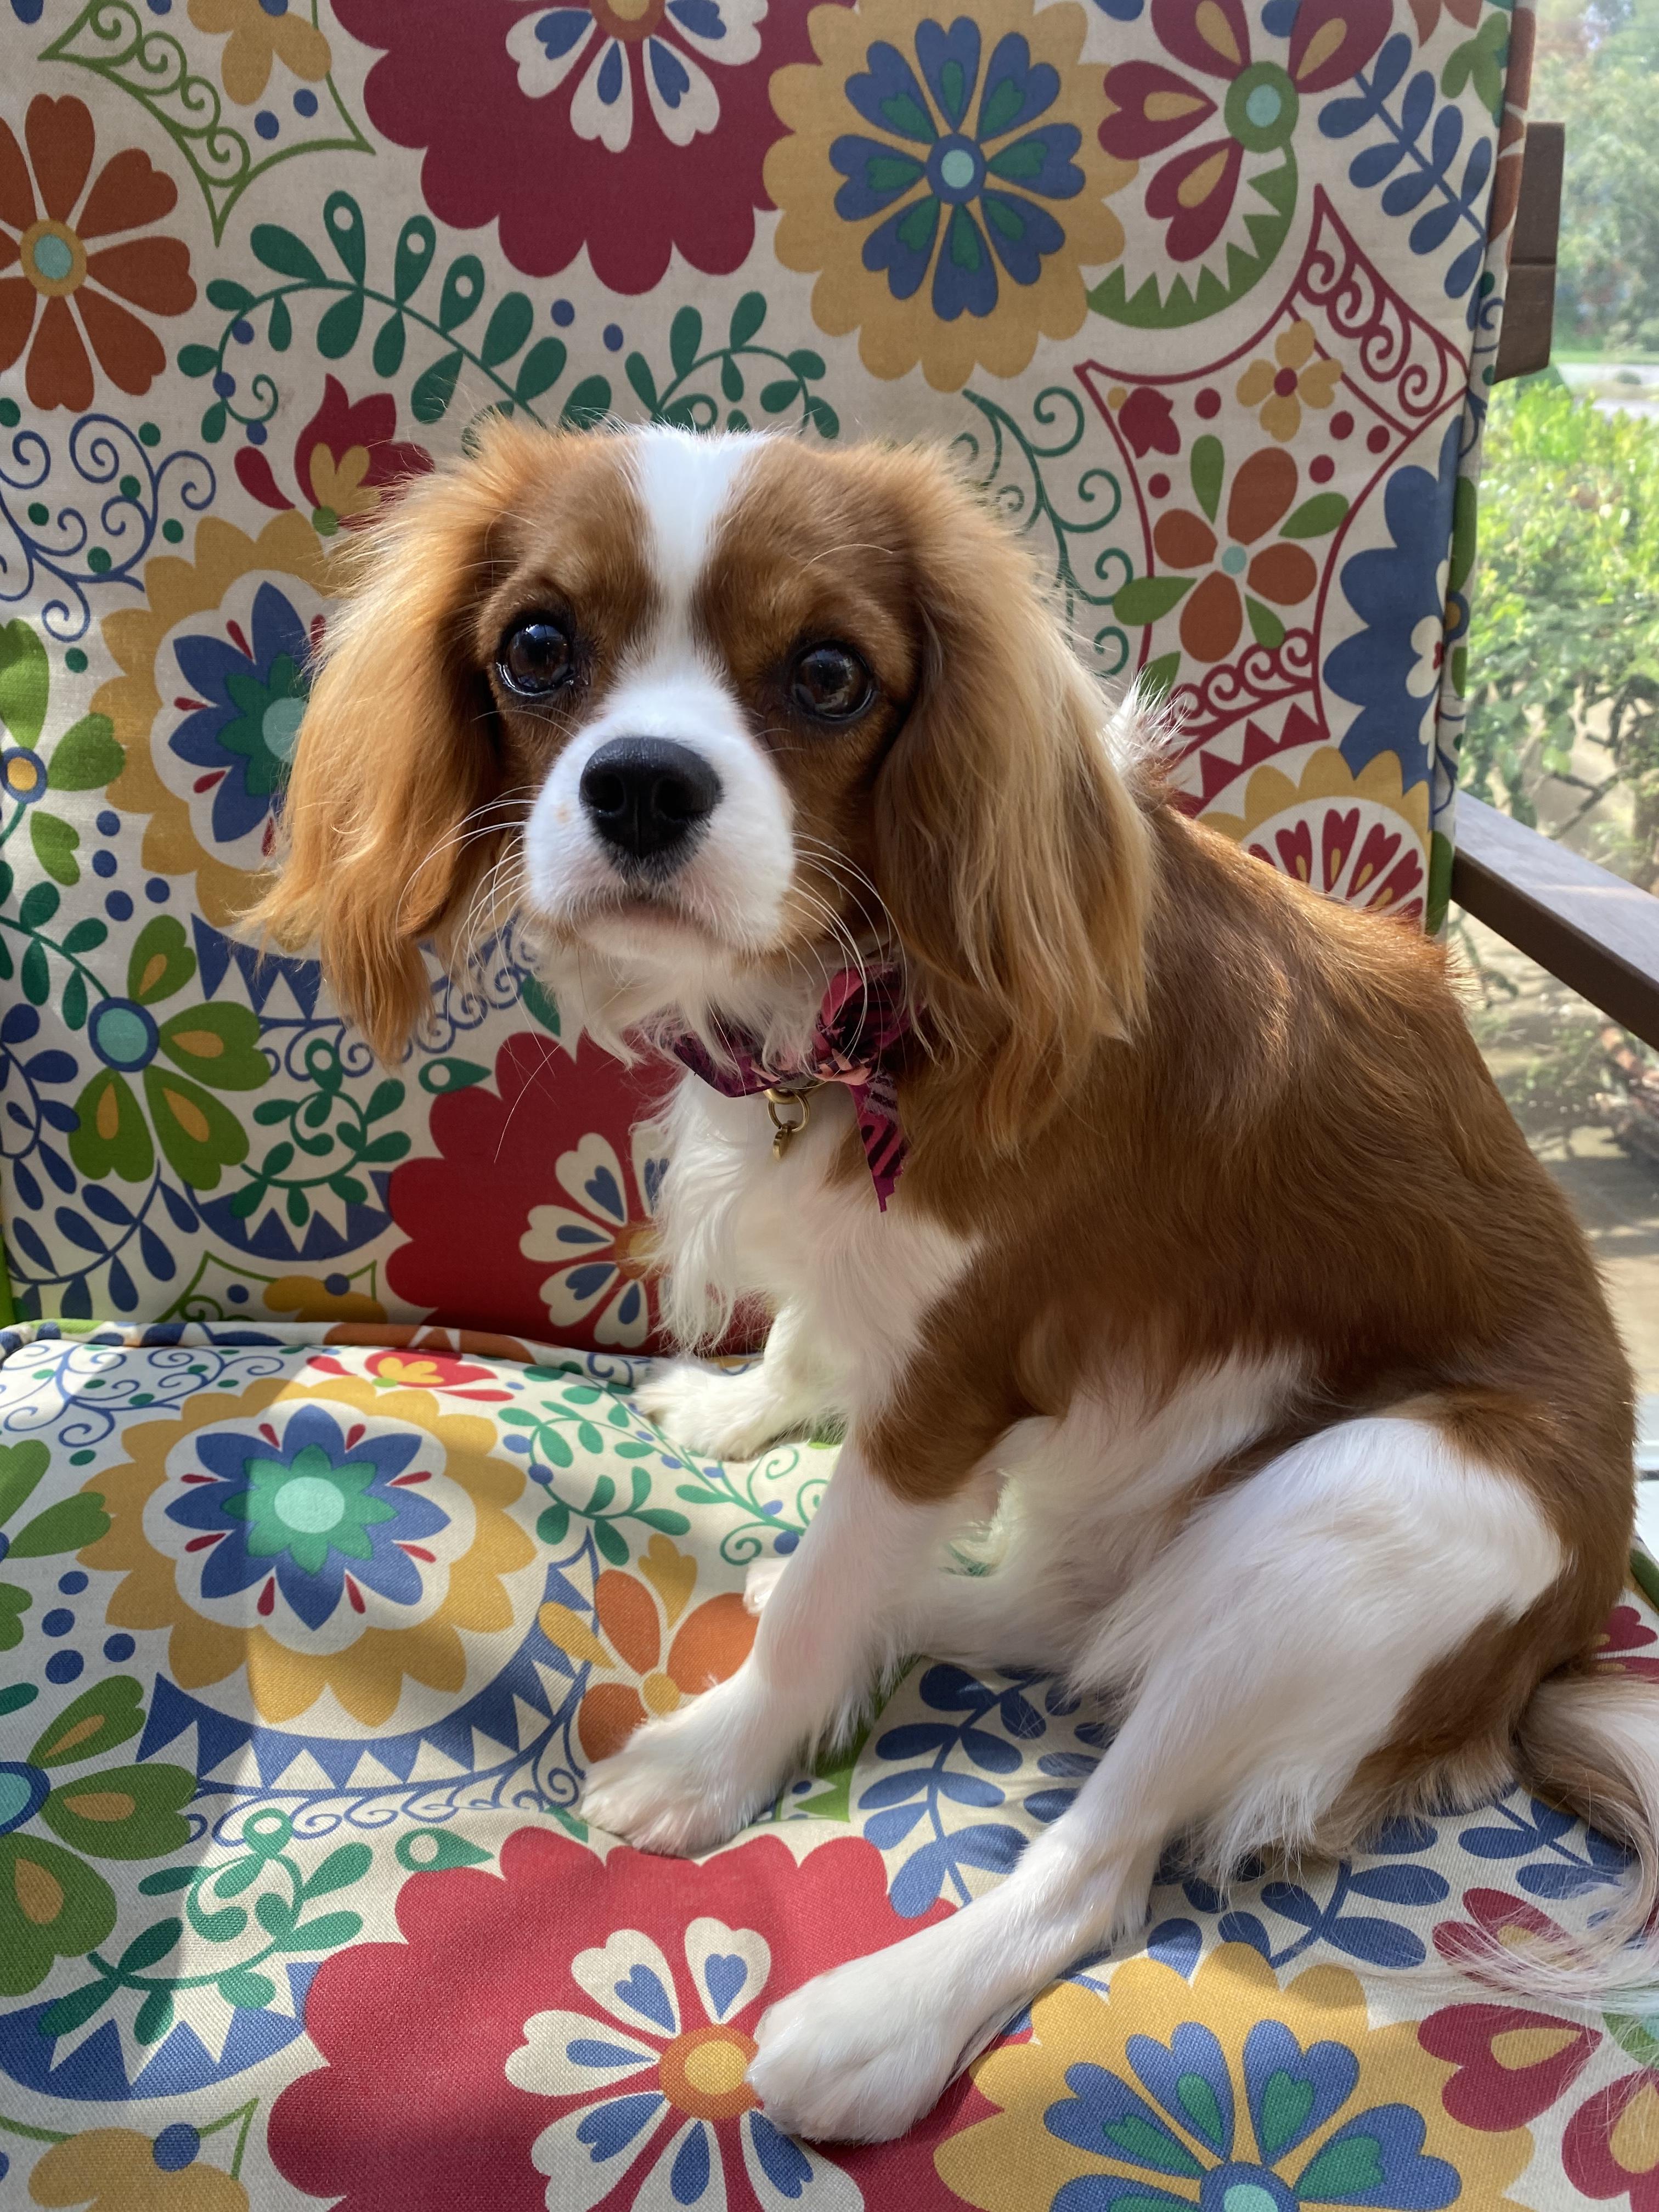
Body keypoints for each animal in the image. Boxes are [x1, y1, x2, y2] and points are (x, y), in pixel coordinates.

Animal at [255, 421, 1648, 2145]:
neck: (852, 996)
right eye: (537, 648)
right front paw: (743, 1414)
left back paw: (882, 2011)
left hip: (1382, 1503)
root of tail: (1558, 1651)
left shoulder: (958, 1376)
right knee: (1087, 1617)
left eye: (830, 675)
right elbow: (810, 1357)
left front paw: (723, 1754)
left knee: (1098, 1854)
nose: (642, 782)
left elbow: (837, 1582)